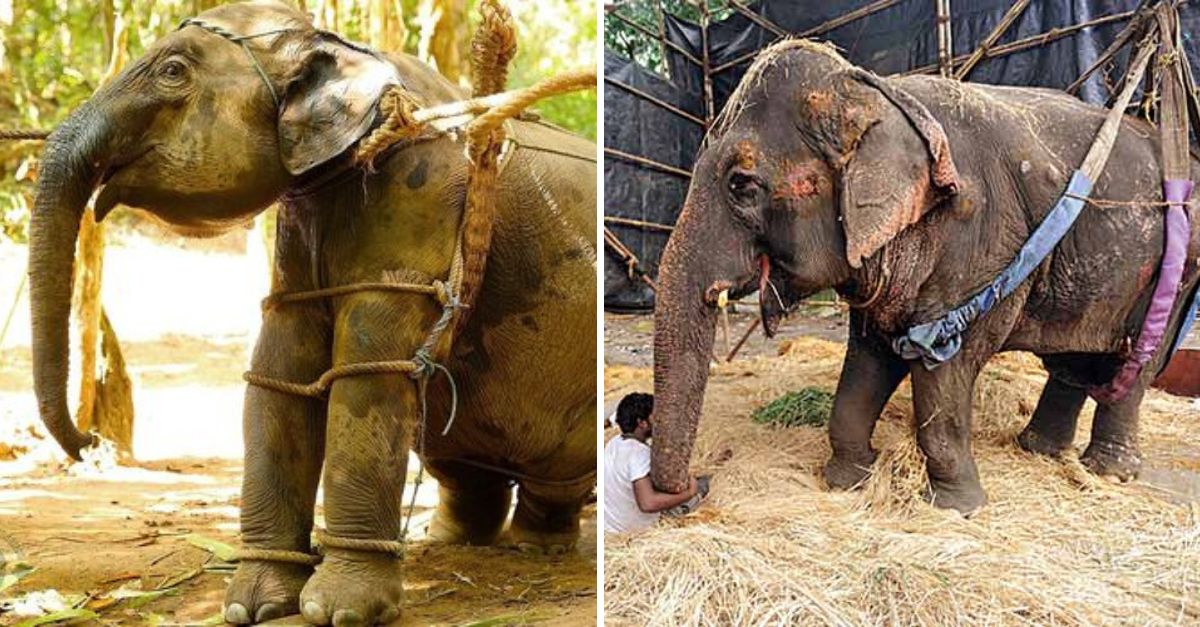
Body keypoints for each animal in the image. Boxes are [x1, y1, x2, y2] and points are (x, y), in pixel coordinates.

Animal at [28, 1, 595, 624]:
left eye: (173, 71)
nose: (91, 441)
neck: (347, 50)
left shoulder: (418, 196)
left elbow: (367, 372)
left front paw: (339, 611)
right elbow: (278, 372)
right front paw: (252, 606)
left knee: (554, 473)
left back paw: (537, 546)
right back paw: (452, 538)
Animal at [650, 39, 1200, 517]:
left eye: (741, 185)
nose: (691, 491)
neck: (880, 96)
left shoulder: (980, 240)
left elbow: (945, 364)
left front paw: (956, 508)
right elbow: (870, 355)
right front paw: (850, 480)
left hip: (1177, 272)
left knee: (1133, 363)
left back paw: (1108, 471)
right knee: (1073, 360)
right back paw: (1038, 450)